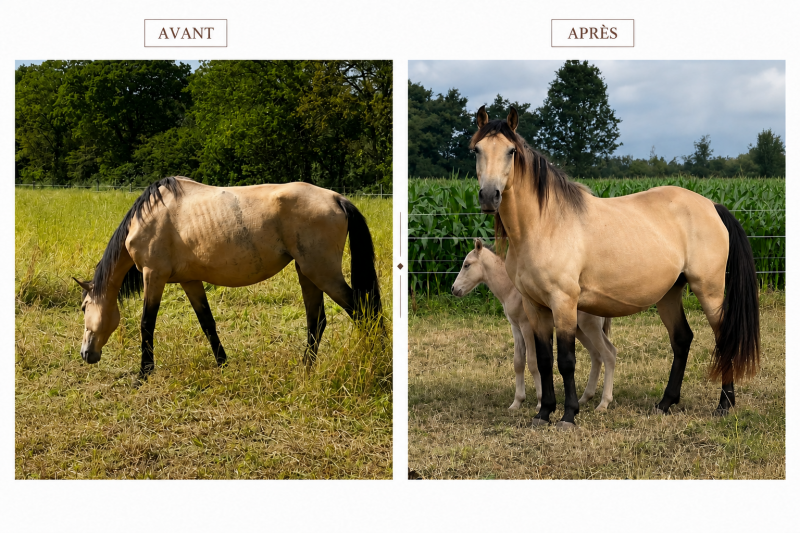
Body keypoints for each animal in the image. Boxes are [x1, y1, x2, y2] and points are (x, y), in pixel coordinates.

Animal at [72, 176, 382, 378]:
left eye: (85, 307)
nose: (85, 354)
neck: (148, 217)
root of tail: (336, 198)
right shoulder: (190, 281)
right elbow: (207, 323)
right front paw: (222, 363)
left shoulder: (154, 276)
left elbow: (147, 324)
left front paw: (144, 372)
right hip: (307, 273)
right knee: (317, 321)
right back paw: (306, 369)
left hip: (322, 273)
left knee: (364, 311)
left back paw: (373, 363)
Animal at [452, 238, 617, 411]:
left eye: (467, 265)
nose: (453, 289)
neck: (512, 290)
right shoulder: (516, 328)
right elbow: (518, 362)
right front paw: (517, 402)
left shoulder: (528, 327)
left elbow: (532, 362)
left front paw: (539, 402)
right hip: (579, 330)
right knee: (596, 355)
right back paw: (585, 398)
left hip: (590, 326)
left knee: (609, 353)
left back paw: (603, 403)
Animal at [470, 105, 760, 429]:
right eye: (477, 150)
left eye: (510, 151)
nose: (489, 196)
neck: (544, 224)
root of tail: (712, 206)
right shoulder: (535, 307)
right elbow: (544, 361)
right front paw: (543, 413)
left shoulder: (564, 302)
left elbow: (566, 361)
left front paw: (569, 415)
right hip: (669, 294)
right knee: (682, 339)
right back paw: (665, 403)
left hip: (708, 290)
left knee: (723, 338)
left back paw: (724, 404)